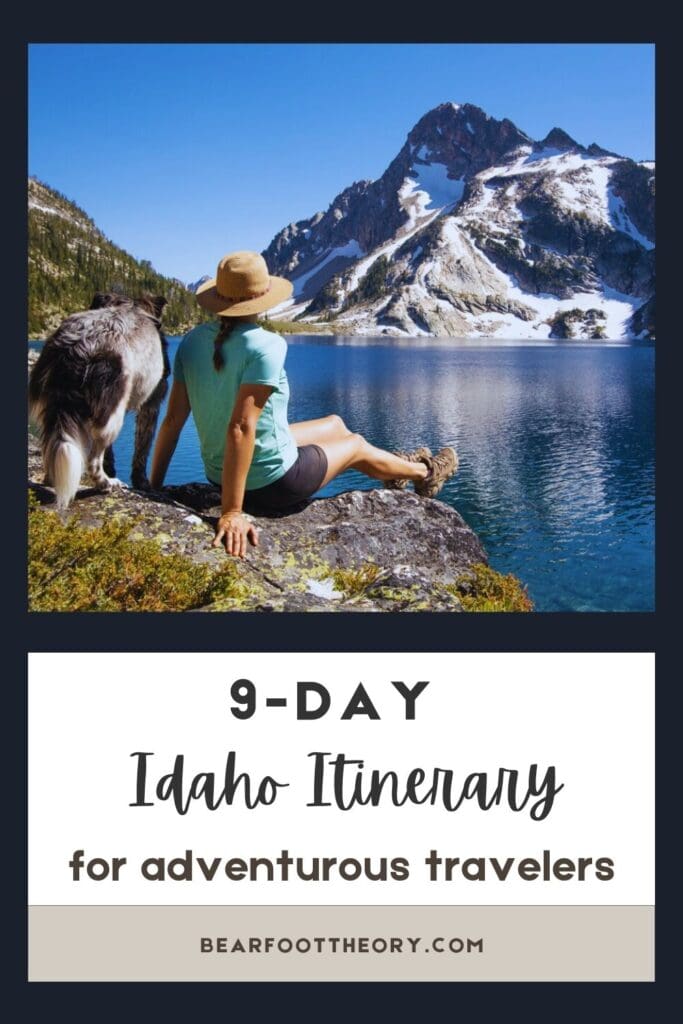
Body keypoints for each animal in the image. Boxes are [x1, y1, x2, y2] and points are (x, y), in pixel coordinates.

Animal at [30, 292, 171, 507]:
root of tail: (77, 346)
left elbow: (111, 455)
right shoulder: (151, 405)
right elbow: (142, 450)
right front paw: (141, 482)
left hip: (45, 402)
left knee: (51, 446)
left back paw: (50, 478)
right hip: (112, 416)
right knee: (93, 460)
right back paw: (107, 484)